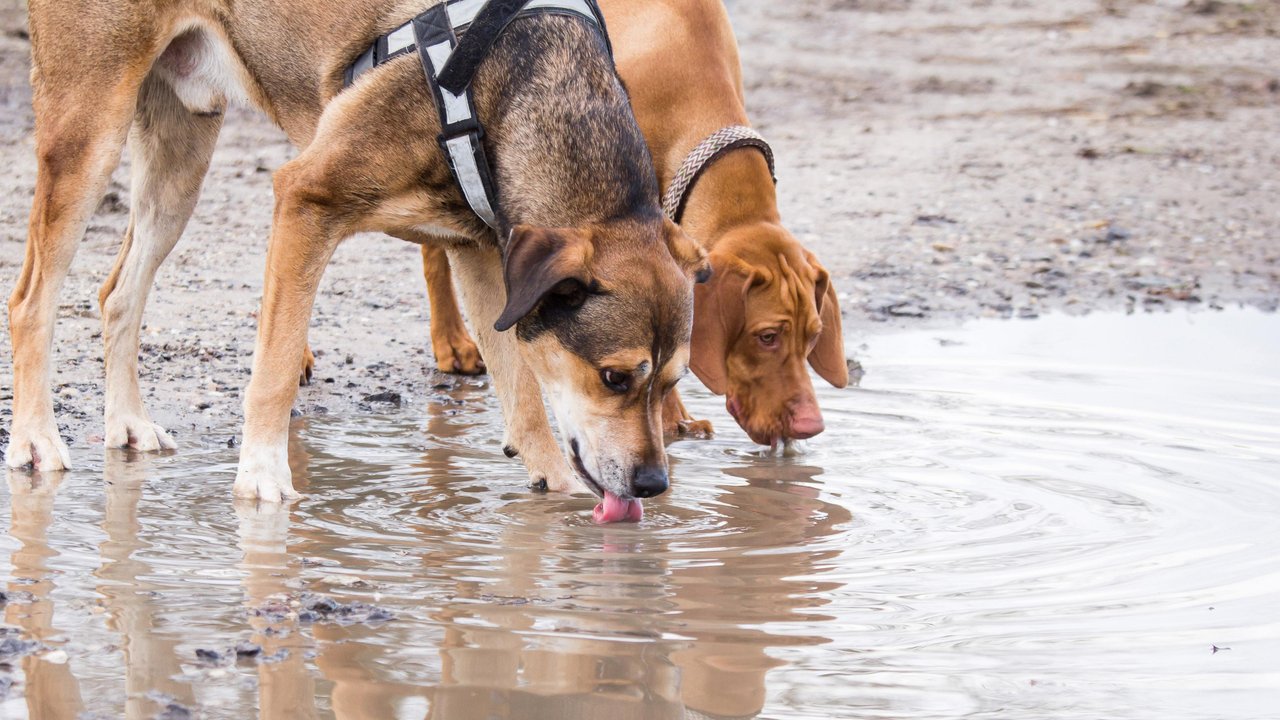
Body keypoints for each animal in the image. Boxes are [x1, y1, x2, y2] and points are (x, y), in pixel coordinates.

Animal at [7, 1, 711, 515]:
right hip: (89, 132)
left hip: (181, 157)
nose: (654, 486)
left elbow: (523, 395)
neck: (510, 88)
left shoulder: (482, 257)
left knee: (118, 293)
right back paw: (36, 439)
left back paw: (128, 422)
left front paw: (552, 494)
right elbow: (275, 367)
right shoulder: (305, 200)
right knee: (30, 300)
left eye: (673, 381)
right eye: (614, 378)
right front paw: (261, 478)